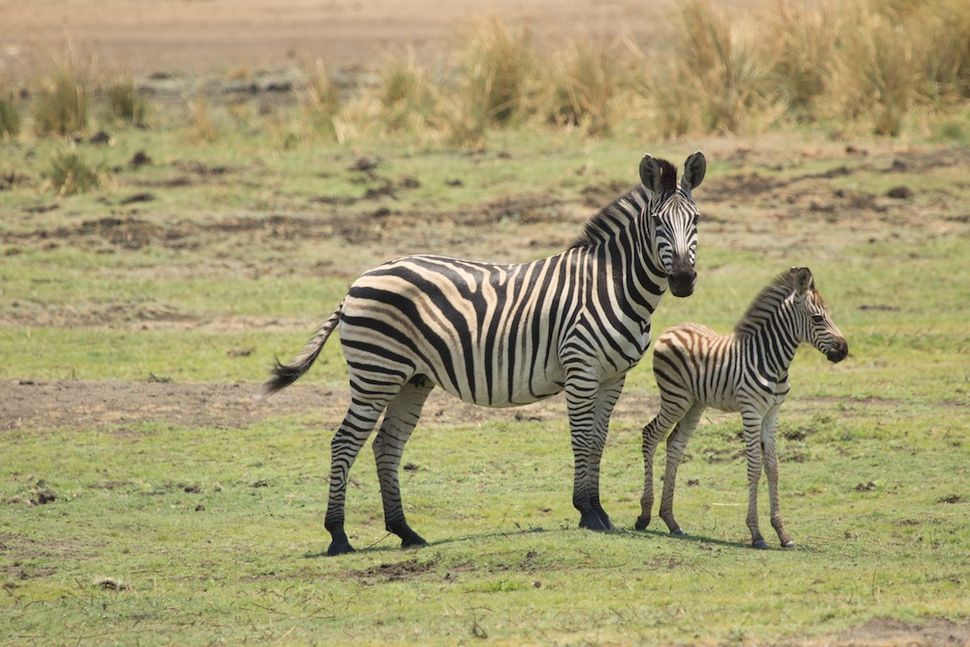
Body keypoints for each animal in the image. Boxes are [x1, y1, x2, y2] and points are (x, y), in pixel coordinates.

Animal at [268, 149, 708, 556]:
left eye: (696, 221)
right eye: (657, 223)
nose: (683, 280)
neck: (613, 283)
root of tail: (357, 282)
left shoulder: (613, 376)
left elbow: (599, 440)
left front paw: (599, 511)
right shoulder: (581, 367)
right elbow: (583, 438)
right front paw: (586, 511)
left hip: (411, 379)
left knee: (386, 445)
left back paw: (405, 532)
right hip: (376, 373)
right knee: (344, 442)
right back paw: (338, 536)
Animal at [632, 268, 844, 548]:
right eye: (818, 318)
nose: (844, 350)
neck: (772, 360)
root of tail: (673, 328)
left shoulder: (772, 413)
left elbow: (773, 468)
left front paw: (783, 533)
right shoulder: (751, 410)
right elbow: (754, 467)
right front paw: (756, 533)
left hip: (694, 403)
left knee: (675, 445)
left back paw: (671, 521)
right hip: (675, 397)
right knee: (650, 435)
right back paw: (644, 515)